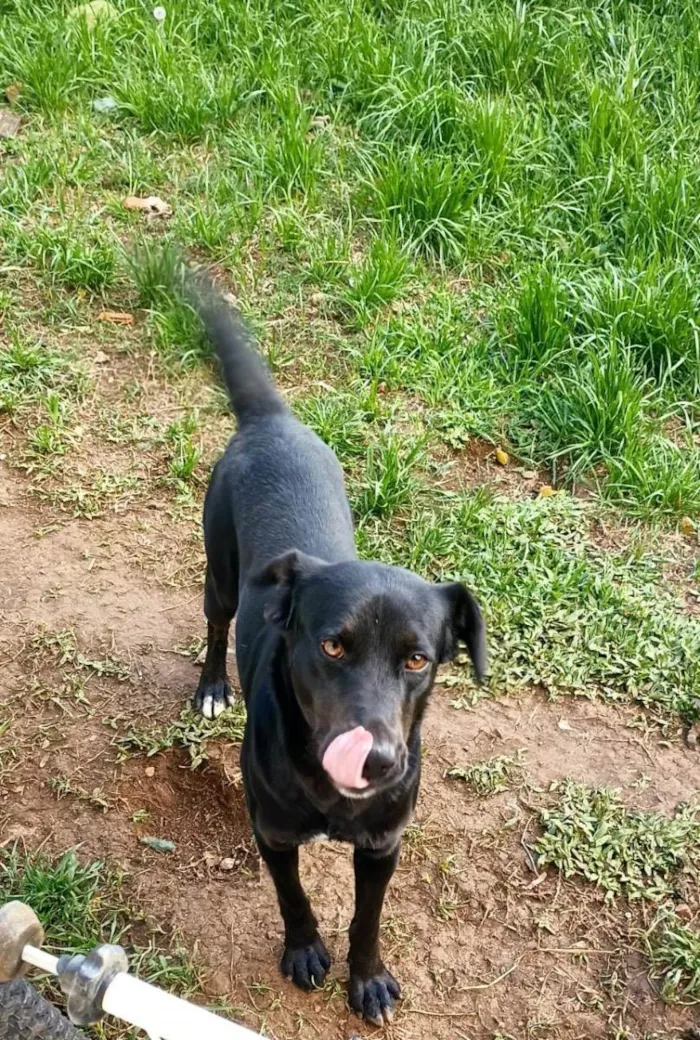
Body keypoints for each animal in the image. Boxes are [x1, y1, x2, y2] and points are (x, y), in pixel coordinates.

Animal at [191, 284, 486, 1023]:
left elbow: (368, 919)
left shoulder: (383, 846)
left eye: (418, 660)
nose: (376, 758)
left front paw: (368, 978)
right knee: (214, 625)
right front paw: (303, 952)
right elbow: (293, 897)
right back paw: (210, 687)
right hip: (219, 575)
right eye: (331, 645)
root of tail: (273, 422)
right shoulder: (271, 831)